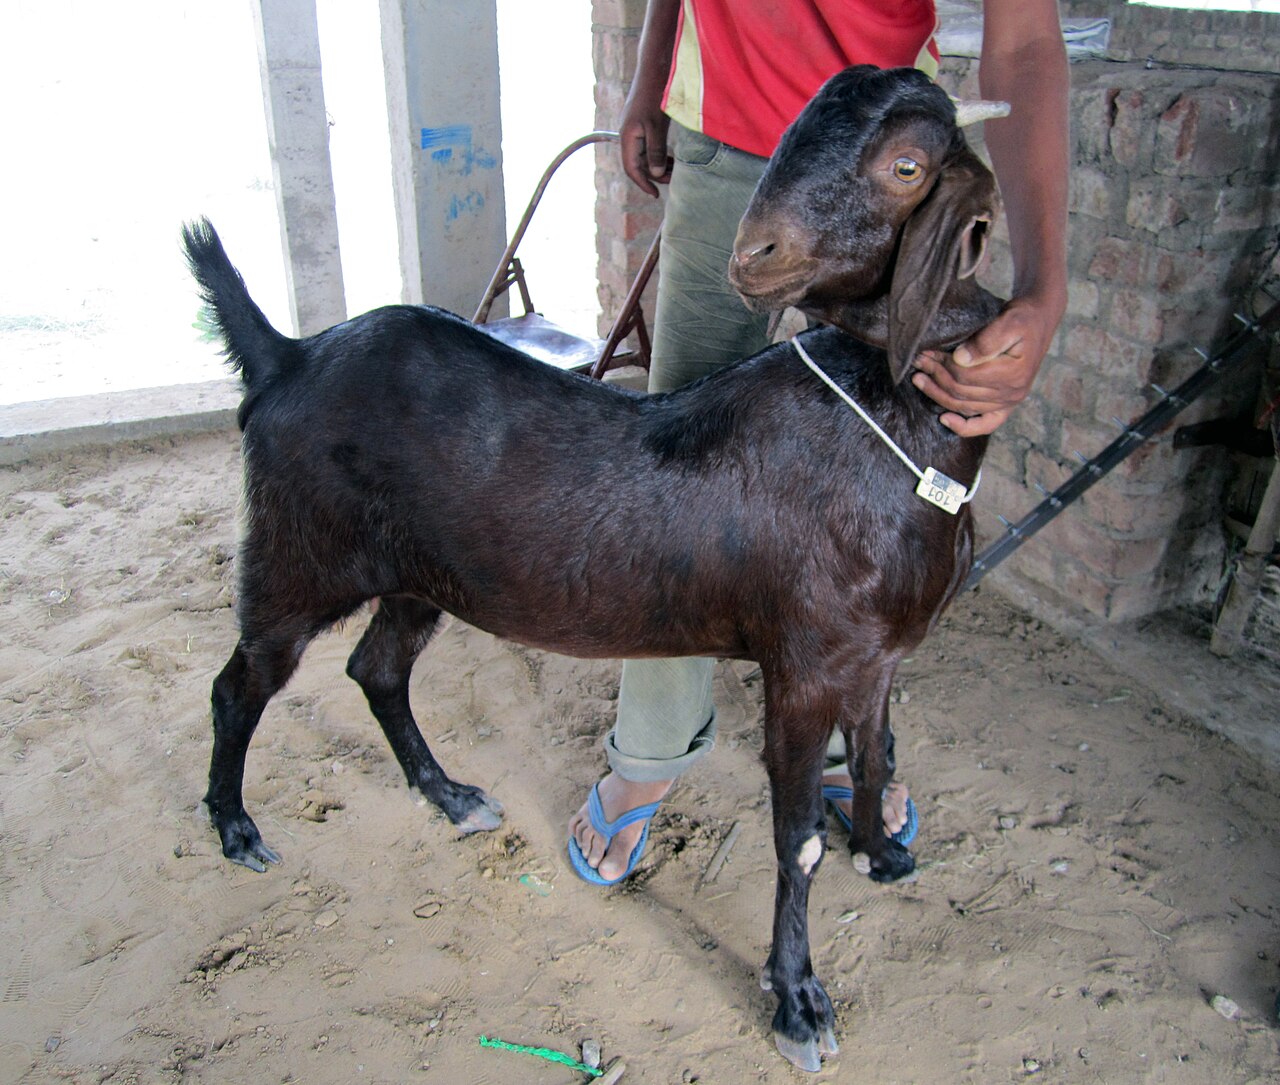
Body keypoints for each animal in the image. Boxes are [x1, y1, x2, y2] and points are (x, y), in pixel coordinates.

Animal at [183, 64, 1006, 1073]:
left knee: (375, 669)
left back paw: (448, 794)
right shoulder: (805, 664)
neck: (889, 421)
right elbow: (798, 839)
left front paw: (882, 854)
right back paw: (235, 826)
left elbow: (881, 752)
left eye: (906, 165)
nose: (756, 255)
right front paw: (799, 1003)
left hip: (420, 578)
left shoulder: (877, 653)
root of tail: (288, 356)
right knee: (239, 683)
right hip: (294, 557)